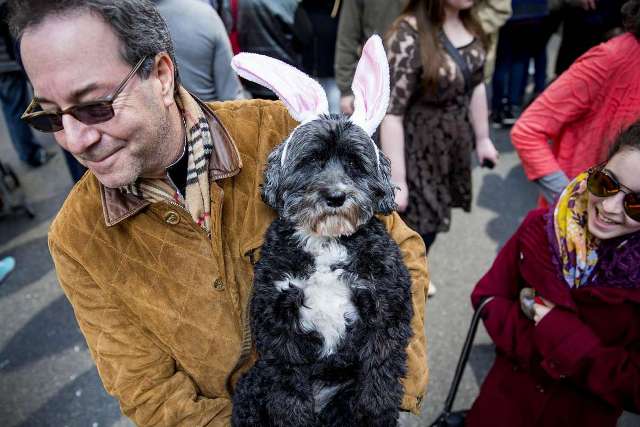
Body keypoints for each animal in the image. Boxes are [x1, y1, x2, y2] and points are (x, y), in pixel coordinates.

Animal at [230, 36, 414, 427]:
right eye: (311, 160)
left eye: (355, 164)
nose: (335, 196)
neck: (328, 242)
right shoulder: (278, 320)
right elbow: (288, 391)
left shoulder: (385, 309)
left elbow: (379, 381)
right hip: (252, 387)